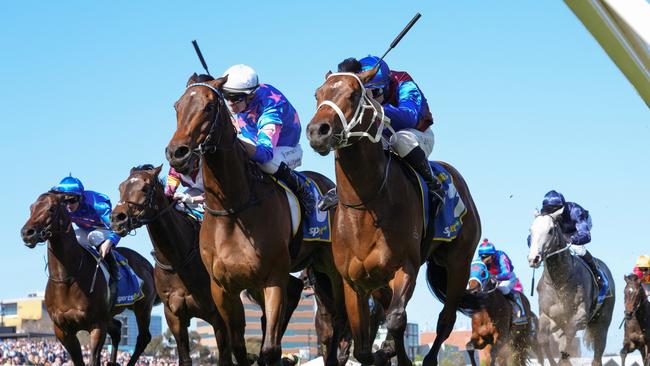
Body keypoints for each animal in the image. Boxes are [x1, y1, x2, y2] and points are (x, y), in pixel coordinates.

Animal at [20, 192, 158, 366]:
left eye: (51, 208)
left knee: (143, 338)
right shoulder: (63, 330)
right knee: (117, 329)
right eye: (31, 208)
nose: (27, 233)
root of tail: (148, 265)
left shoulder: (97, 325)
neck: (67, 279)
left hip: (142, 308)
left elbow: (92, 359)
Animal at [110, 166, 232, 366]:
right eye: (120, 187)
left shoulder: (217, 315)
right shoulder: (174, 316)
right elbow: (185, 358)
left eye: (145, 188)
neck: (178, 259)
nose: (117, 219)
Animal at [166, 73, 344, 366]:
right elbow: (238, 346)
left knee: (336, 322)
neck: (233, 210)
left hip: (332, 271)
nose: (177, 152)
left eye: (209, 106)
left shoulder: (273, 279)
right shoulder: (223, 288)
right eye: (177, 107)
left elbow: (269, 349)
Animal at [306, 69, 480, 366]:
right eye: (318, 94)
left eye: (354, 94)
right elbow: (363, 346)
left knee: (445, 320)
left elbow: (397, 320)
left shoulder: (405, 266)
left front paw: (392, 351)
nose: (318, 131)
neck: (365, 208)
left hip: (458, 262)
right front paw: (381, 352)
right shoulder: (353, 282)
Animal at [528, 207, 612, 364]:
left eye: (550, 230)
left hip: (602, 322)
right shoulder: (547, 316)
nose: (533, 259)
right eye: (531, 230)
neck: (559, 281)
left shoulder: (580, 317)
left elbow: (568, 337)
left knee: (598, 353)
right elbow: (543, 340)